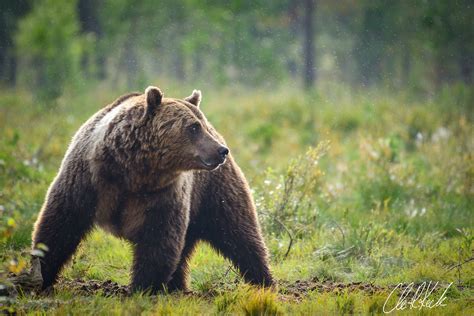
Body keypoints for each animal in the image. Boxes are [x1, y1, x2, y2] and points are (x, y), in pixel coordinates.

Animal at [32, 86, 274, 292]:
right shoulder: (88, 179)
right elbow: (61, 222)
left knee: (238, 231)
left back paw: (263, 280)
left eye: (203, 125)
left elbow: (159, 238)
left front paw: (143, 287)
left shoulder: (162, 194)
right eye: (194, 127)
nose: (221, 150)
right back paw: (178, 285)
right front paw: (42, 275)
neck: (134, 171)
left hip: (212, 191)